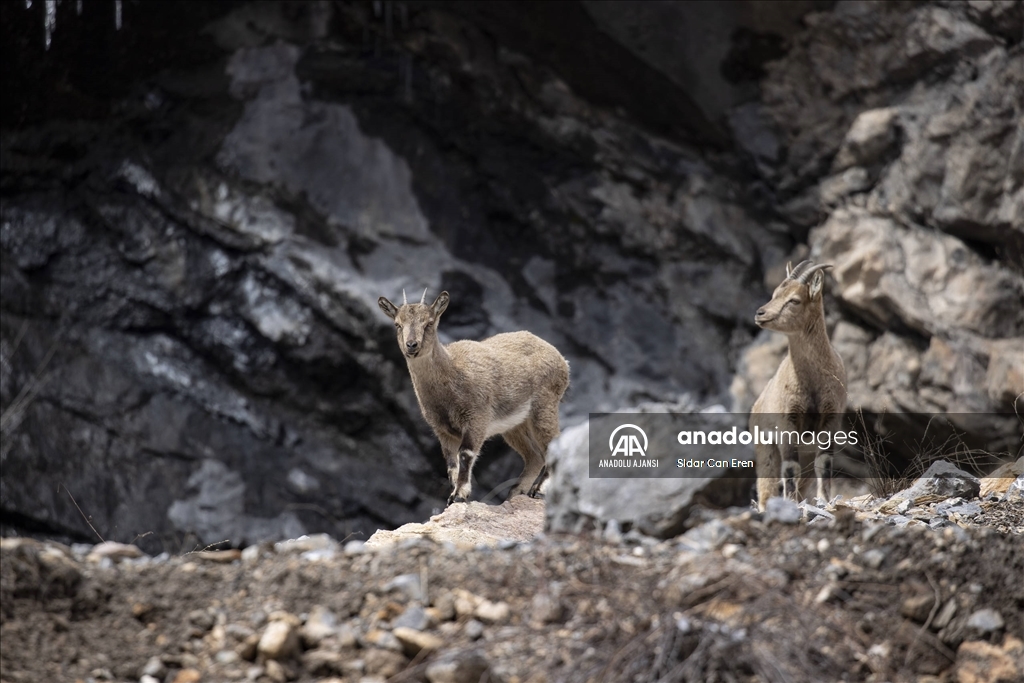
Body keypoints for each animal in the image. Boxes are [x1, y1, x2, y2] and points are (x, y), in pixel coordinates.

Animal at [378, 290, 573, 507]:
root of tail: (562, 361)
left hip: (544, 405)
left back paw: (538, 491)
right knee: (534, 456)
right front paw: (453, 495)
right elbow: (451, 463)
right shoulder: (442, 430)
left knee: (552, 445)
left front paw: (459, 495)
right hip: (515, 424)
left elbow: (465, 454)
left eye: (429, 323)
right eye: (397, 324)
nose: (412, 345)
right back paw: (514, 494)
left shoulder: (476, 418)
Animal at [745, 262, 847, 511]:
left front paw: (826, 500)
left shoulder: (831, 420)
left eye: (794, 300)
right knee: (767, 485)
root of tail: (757, 404)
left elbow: (825, 464)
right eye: (774, 294)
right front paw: (790, 505)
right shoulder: (787, 423)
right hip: (766, 446)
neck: (811, 382)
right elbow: (790, 469)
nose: (760, 313)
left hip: (806, 450)